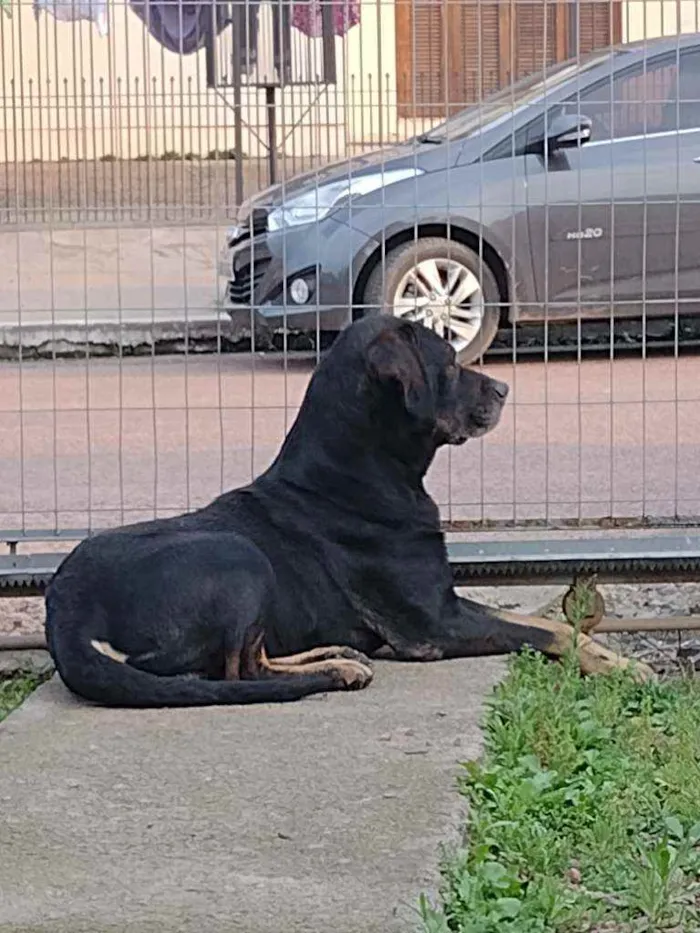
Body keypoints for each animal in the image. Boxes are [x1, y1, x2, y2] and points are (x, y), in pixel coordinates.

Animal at [45, 314, 652, 708]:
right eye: (450, 363)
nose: (504, 388)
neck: (357, 475)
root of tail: (65, 613)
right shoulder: (434, 624)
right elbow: (549, 634)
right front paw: (625, 668)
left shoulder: (446, 599)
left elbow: (542, 622)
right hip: (238, 558)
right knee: (237, 671)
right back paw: (335, 670)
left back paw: (334, 651)